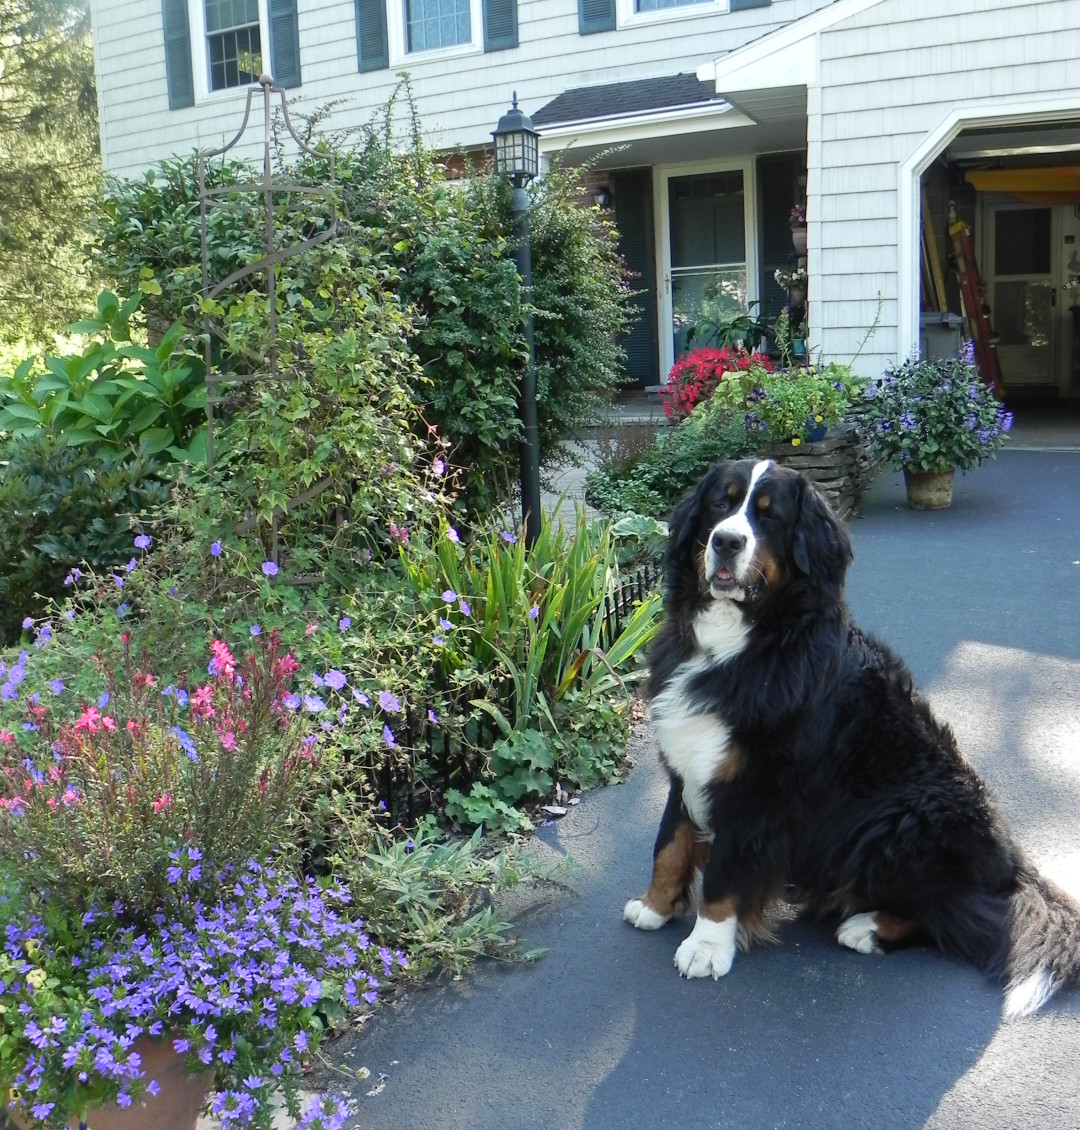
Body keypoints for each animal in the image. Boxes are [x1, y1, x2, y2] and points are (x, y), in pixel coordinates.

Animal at [623, 456, 1080, 1017]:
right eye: (719, 504)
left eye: (769, 516)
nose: (726, 541)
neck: (739, 644)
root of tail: (1014, 864)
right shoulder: (687, 762)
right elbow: (669, 843)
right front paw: (655, 906)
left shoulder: (758, 789)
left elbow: (725, 874)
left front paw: (707, 945)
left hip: (897, 821)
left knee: (957, 914)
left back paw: (866, 927)